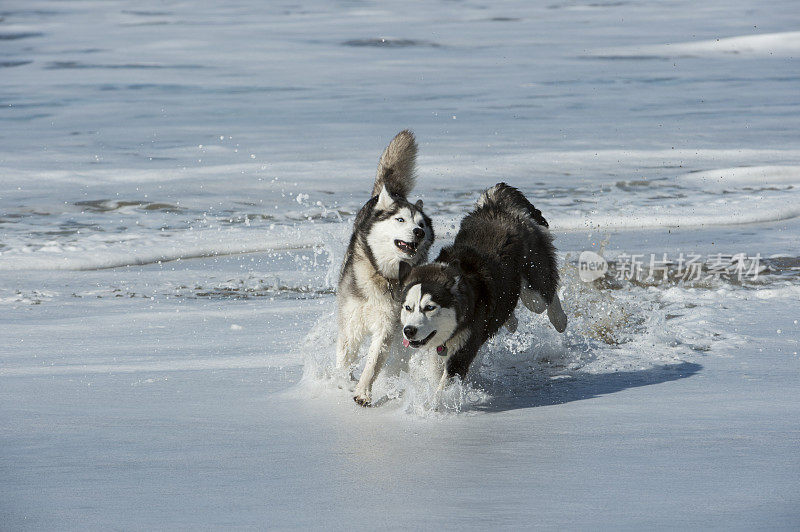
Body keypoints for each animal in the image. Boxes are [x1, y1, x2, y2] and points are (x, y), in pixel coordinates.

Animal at [340, 131, 438, 406]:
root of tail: (393, 193)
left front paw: (362, 392)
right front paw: (343, 380)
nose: (418, 232)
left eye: (421, 224)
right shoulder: (352, 318)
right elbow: (346, 354)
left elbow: (373, 362)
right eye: (400, 220)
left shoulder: (388, 325)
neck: (383, 275)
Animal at [396, 185, 564, 388]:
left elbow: (446, 384)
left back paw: (559, 319)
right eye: (408, 308)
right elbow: (435, 374)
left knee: (545, 295)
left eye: (429, 308)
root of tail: (496, 205)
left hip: (534, 286)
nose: (408, 330)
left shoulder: (463, 350)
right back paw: (511, 321)